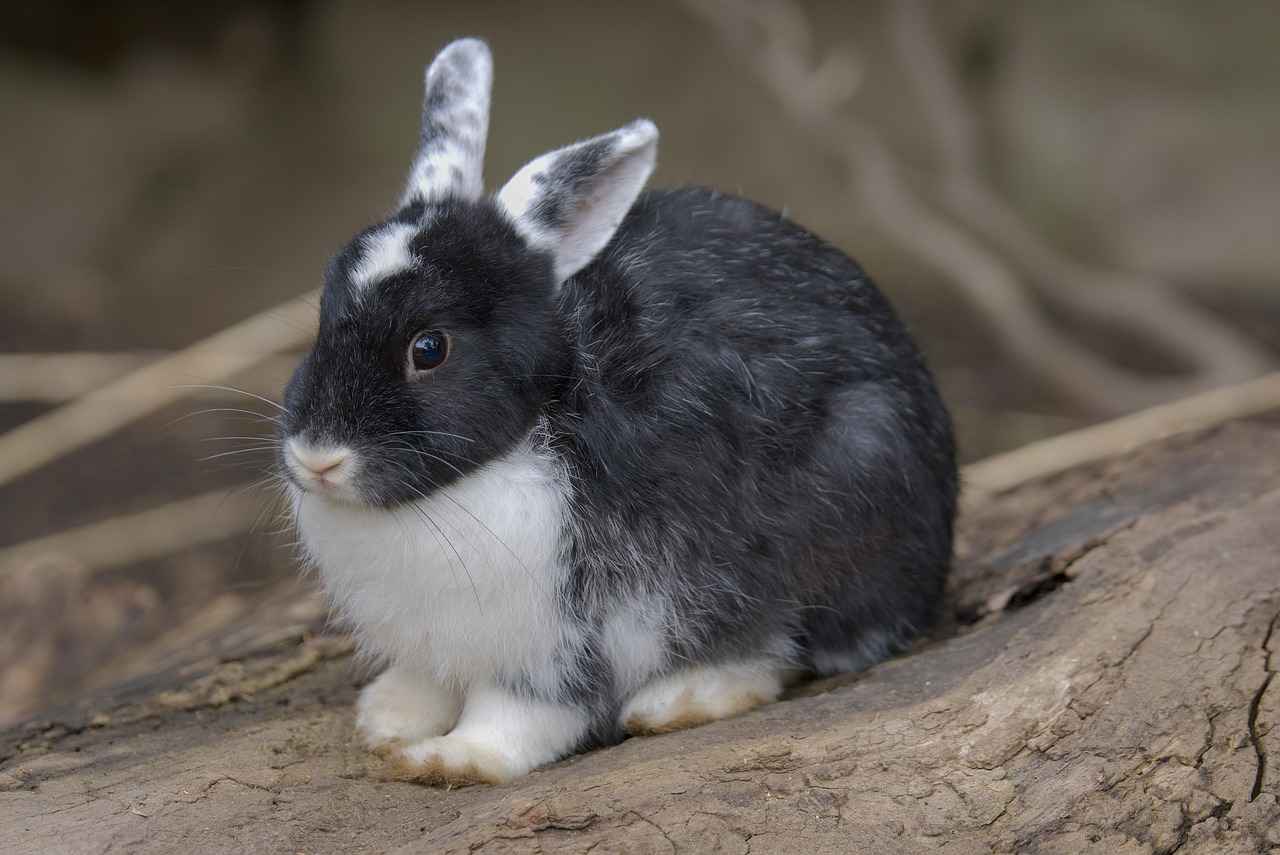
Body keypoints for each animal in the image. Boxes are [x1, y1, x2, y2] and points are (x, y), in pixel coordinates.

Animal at [279, 37, 957, 786]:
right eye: (323, 316)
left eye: (429, 348)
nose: (317, 457)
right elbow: (429, 680)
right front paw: (388, 717)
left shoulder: (557, 636)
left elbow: (519, 713)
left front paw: (455, 758)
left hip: (847, 492)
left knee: (781, 644)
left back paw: (674, 701)